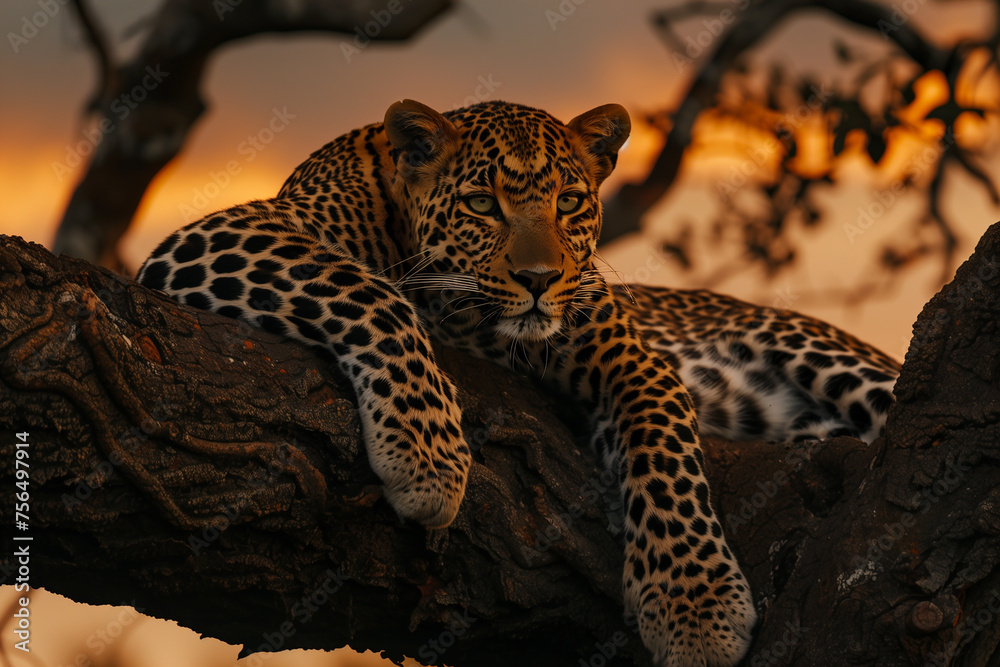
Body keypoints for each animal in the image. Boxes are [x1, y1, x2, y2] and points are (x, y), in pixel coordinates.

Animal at [137, 99, 900, 666]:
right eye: (481, 204)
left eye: (570, 202)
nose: (540, 279)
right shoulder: (217, 236)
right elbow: (369, 291)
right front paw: (429, 459)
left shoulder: (629, 355)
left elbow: (666, 454)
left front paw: (696, 607)